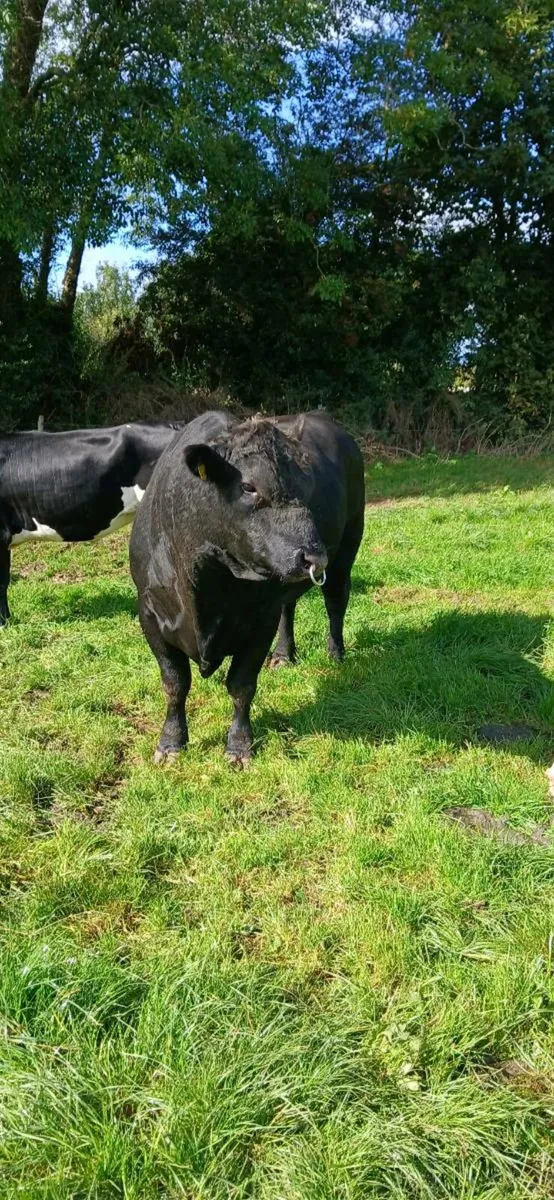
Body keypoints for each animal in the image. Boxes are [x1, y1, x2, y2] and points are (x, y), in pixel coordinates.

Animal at [129, 410, 365, 766]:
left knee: (336, 604)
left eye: (308, 485)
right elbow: (175, 684)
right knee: (289, 607)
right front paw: (170, 744)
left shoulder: (259, 621)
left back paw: (335, 654)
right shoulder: (150, 615)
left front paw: (239, 747)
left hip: (346, 549)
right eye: (248, 486)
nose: (313, 556)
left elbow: (241, 686)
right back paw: (283, 655)